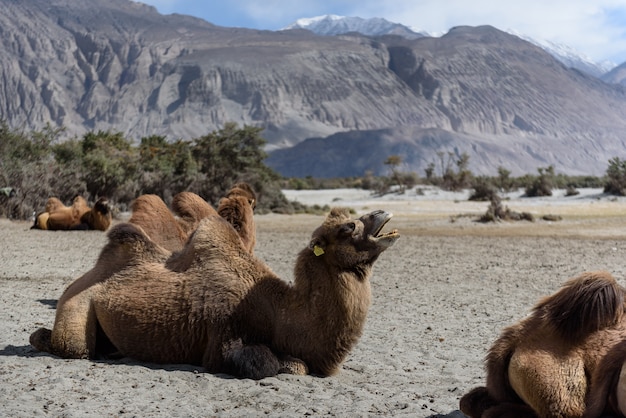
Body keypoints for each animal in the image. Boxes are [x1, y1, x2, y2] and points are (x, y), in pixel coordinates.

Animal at [29, 208, 398, 378]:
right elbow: (272, 364)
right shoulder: (223, 337)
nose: (382, 214)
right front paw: (289, 362)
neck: (280, 313)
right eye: (347, 228)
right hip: (77, 307)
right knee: (70, 346)